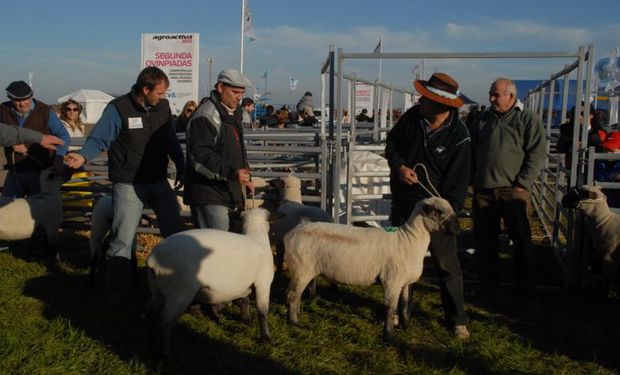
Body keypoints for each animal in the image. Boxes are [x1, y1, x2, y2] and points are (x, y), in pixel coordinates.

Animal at [144, 209, 280, 358]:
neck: (257, 238)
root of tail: (153, 257)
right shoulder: (263, 283)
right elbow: (262, 313)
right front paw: (266, 339)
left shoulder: (244, 283)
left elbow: (244, 300)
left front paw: (246, 320)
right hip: (179, 295)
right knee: (164, 323)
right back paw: (166, 354)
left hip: (157, 292)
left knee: (150, 315)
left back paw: (152, 345)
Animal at [284, 198, 458, 336]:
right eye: (438, 211)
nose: (457, 229)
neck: (408, 240)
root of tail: (291, 233)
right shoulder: (392, 280)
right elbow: (390, 307)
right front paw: (389, 335)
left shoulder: (406, 282)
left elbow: (404, 306)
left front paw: (405, 328)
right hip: (302, 270)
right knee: (292, 295)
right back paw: (294, 322)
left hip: (304, 271)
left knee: (296, 295)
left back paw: (296, 315)